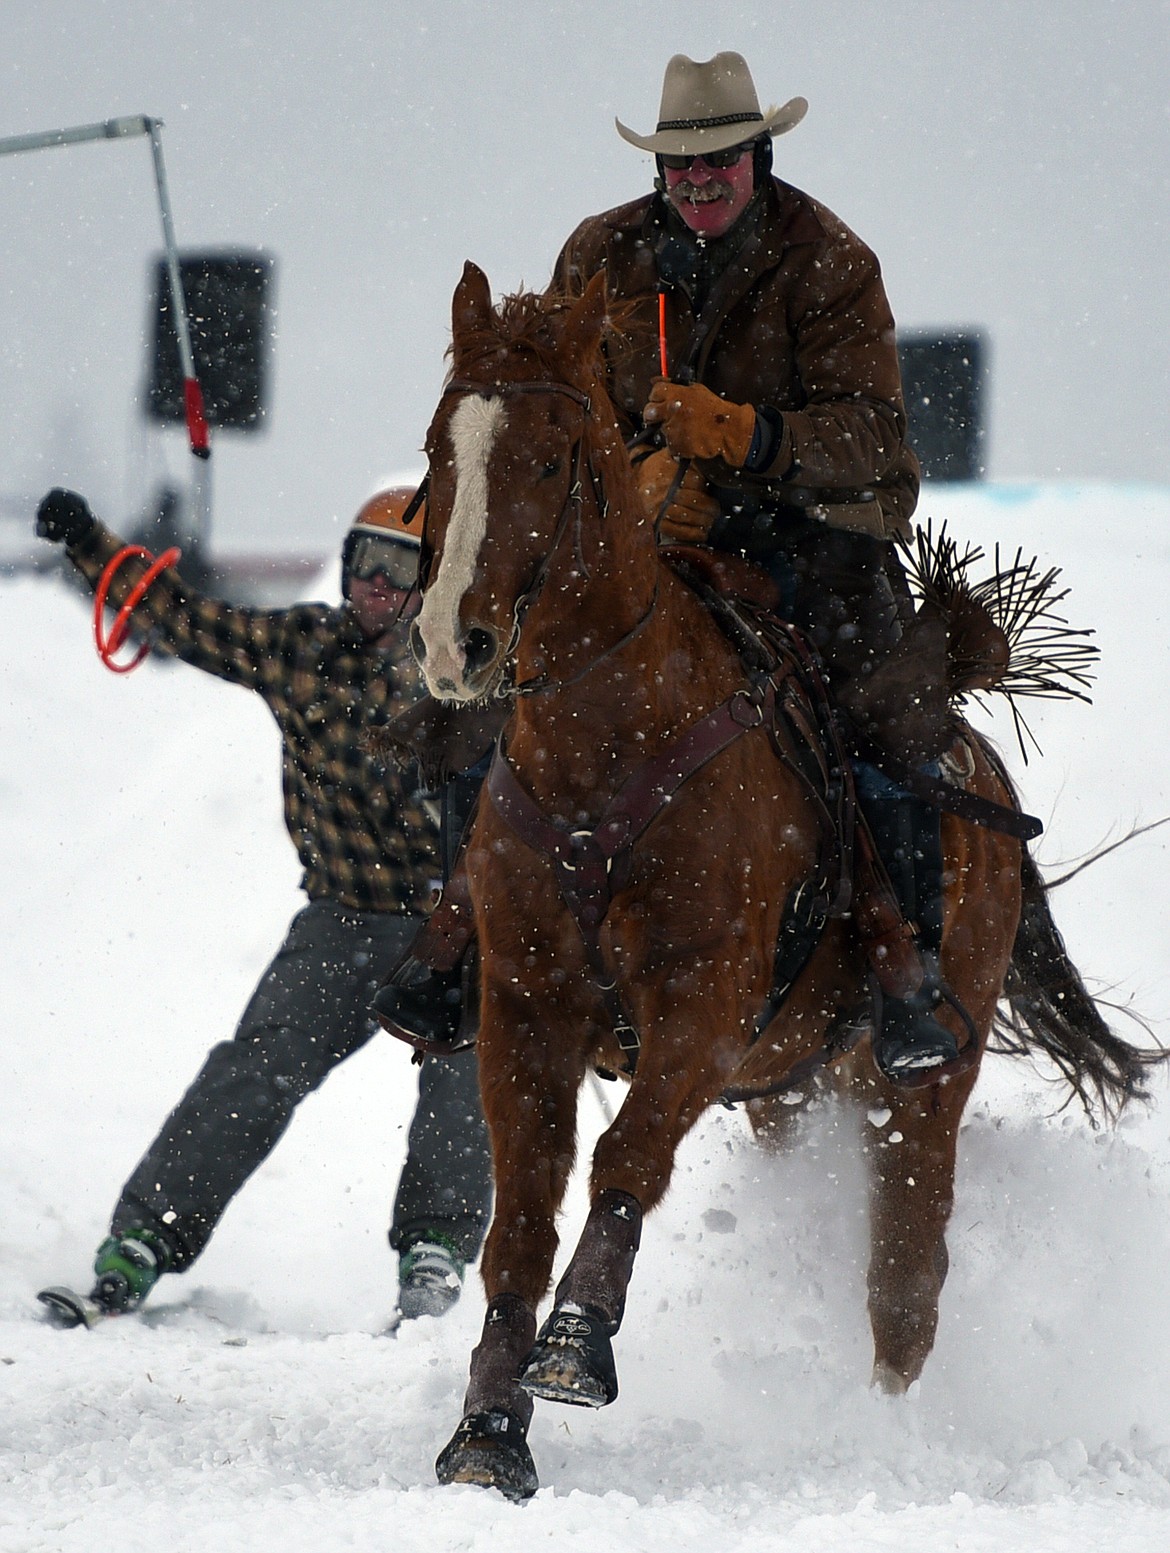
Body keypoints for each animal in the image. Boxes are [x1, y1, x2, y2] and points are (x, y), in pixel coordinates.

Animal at [407, 260, 1156, 1497]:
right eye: (440, 449)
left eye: (551, 460)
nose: (450, 644)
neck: (608, 746)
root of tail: (974, 763)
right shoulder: (525, 1005)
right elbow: (519, 1217)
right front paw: (486, 1430)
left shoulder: (700, 1006)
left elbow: (626, 1157)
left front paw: (575, 1347)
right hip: (791, 1085)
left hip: (917, 1085)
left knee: (907, 1274)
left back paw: (883, 1433)